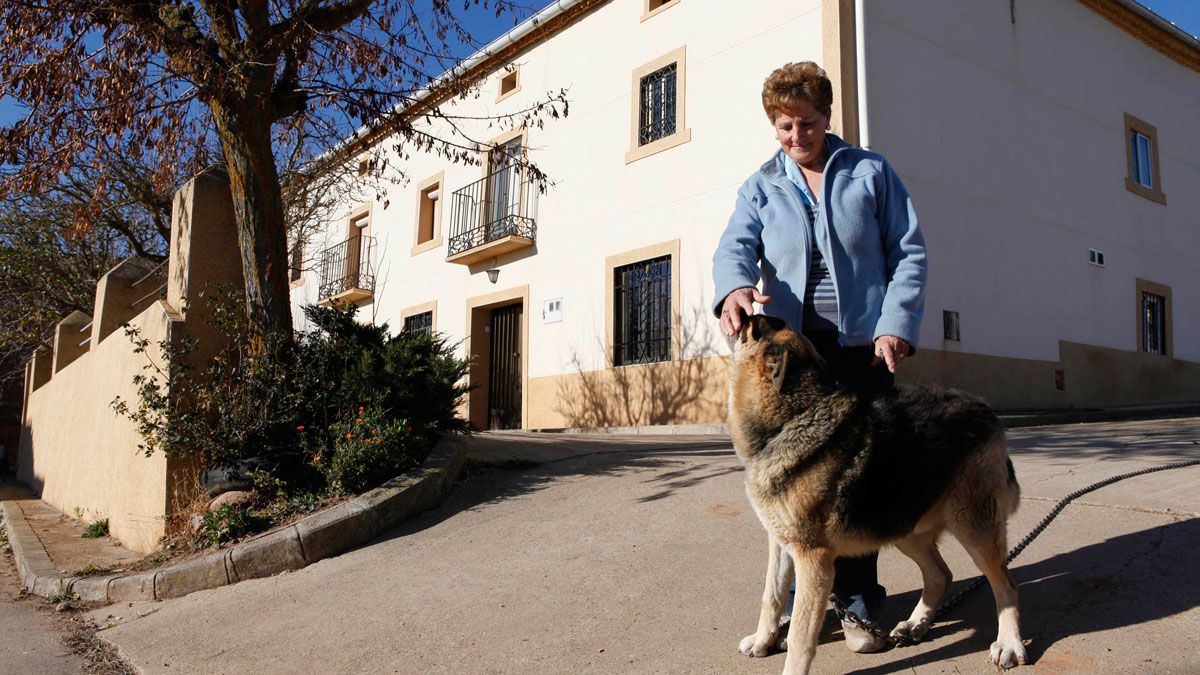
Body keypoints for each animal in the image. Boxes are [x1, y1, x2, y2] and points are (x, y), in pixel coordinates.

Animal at [724, 314, 1027, 672]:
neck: (792, 419)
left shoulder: (814, 559)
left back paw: (1009, 643)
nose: (742, 310)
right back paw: (916, 624)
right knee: (940, 575)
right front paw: (763, 641)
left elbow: (800, 635)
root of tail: (984, 408)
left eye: (761, 325)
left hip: (972, 528)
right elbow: (771, 597)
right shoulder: (782, 545)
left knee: (1006, 587)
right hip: (903, 527)